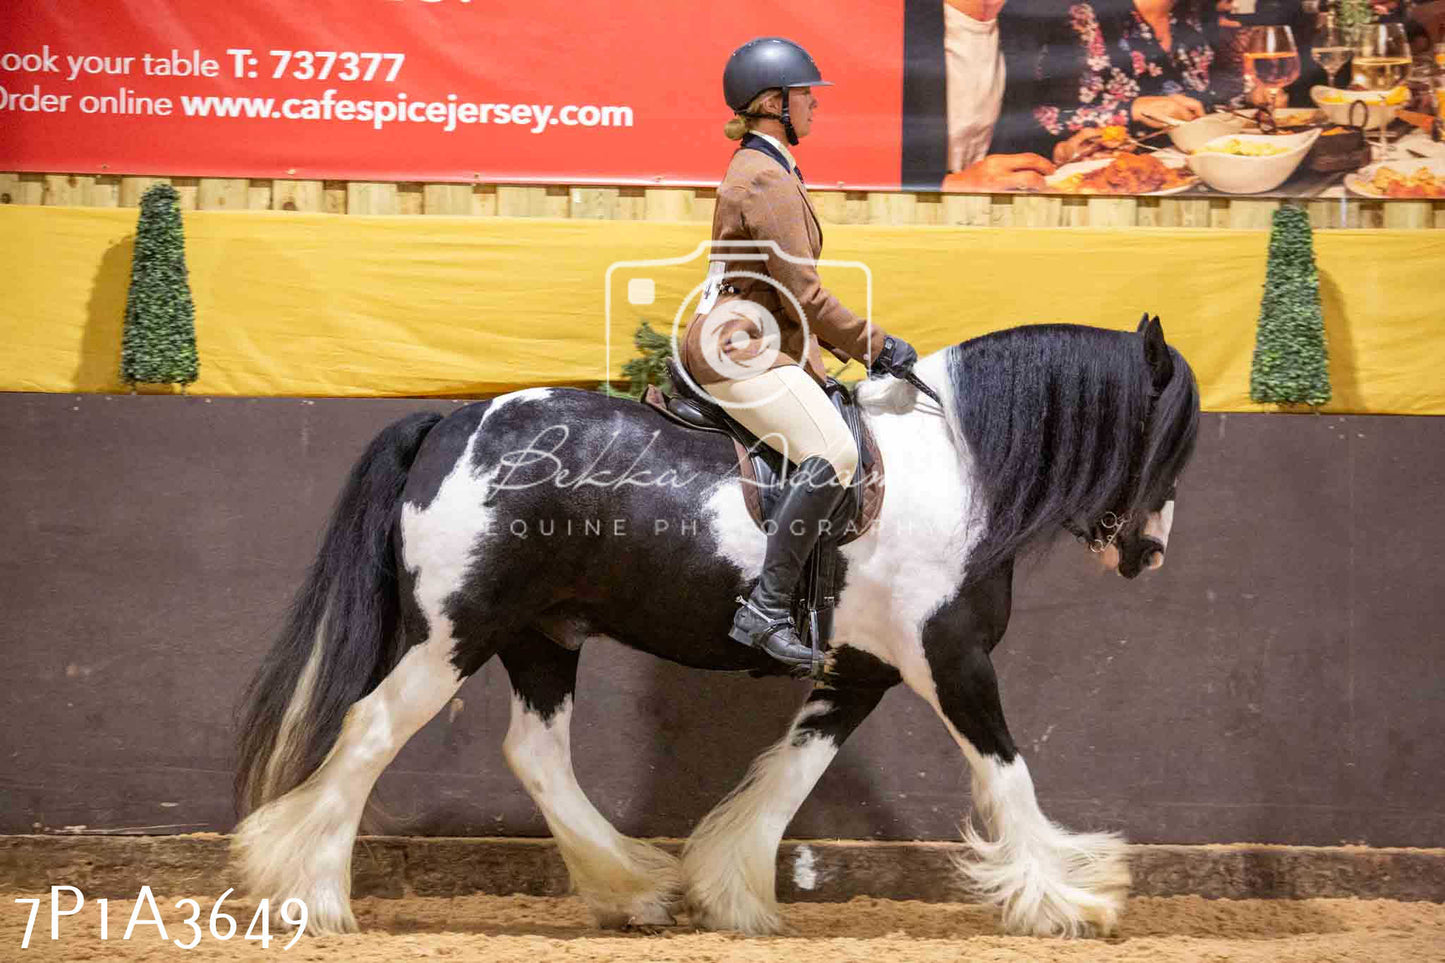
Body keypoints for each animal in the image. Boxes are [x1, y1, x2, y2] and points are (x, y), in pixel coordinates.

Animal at [236, 315, 1202, 936]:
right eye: (1165, 441)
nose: (1151, 551)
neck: (954, 471)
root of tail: (450, 420)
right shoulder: (949, 658)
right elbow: (1007, 773)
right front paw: (1072, 900)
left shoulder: (858, 669)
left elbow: (788, 777)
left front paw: (730, 892)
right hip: (453, 635)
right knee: (369, 731)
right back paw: (315, 897)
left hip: (541, 635)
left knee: (535, 753)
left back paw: (634, 889)